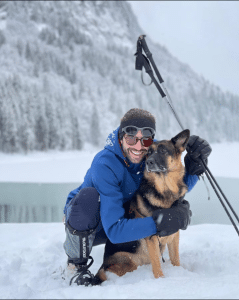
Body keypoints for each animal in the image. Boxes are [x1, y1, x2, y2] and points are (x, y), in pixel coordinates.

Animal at [94, 129, 190, 284]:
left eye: (163, 151)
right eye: (148, 153)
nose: (149, 162)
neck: (164, 191)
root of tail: (102, 266)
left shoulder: (174, 235)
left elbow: (176, 259)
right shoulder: (152, 238)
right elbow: (157, 264)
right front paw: (161, 280)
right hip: (128, 261)